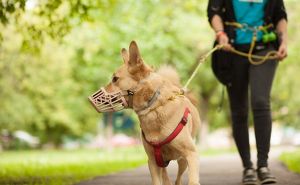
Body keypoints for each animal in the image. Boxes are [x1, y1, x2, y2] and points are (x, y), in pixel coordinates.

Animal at [89, 40, 202, 185]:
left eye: (115, 79)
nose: (90, 99)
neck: (154, 107)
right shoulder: (153, 162)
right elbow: (157, 181)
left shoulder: (191, 154)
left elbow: (192, 180)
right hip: (162, 162)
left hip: (182, 161)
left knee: (178, 178)